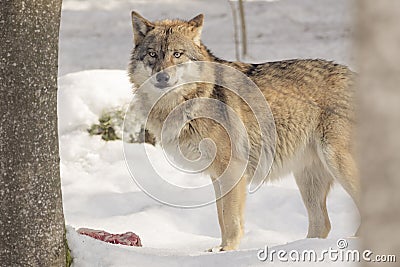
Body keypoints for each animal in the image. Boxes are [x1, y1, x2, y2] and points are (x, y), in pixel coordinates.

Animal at [128, 11, 360, 253]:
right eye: (152, 54)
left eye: (177, 54)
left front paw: (228, 250)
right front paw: (220, 250)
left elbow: (230, 218)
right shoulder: (216, 176)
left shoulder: (233, 170)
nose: (161, 77)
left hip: (336, 162)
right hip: (307, 178)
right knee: (322, 224)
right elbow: (221, 217)